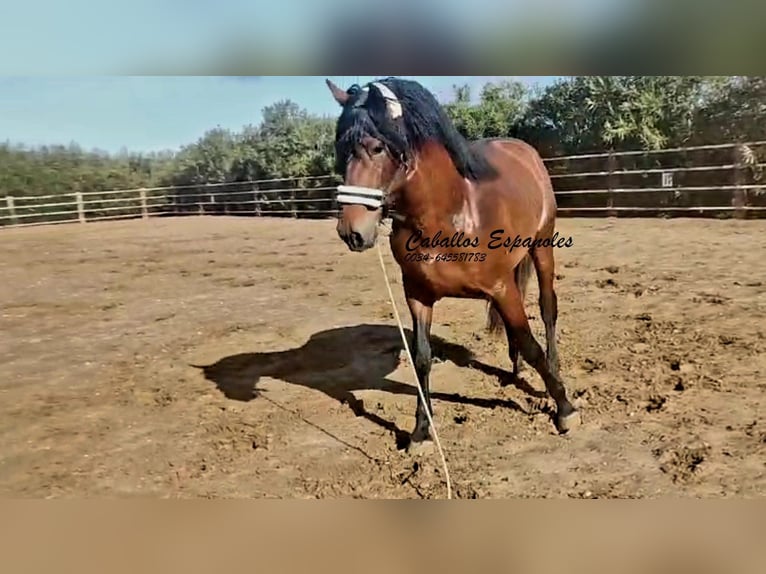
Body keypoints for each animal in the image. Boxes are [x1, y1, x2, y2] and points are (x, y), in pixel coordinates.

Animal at [325, 77, 580, 449]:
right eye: (341, 151)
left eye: (377, 148)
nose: (352, 232)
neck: (448, 216)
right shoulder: (417, 295)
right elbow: (421, 358)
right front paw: (420, 431)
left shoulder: (502, 288)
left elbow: (532, 345)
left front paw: (564, 409)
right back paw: (514, 369)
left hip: (542, 247)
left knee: (548, 310)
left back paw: (553, 367)